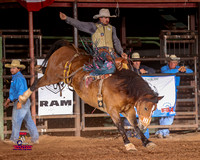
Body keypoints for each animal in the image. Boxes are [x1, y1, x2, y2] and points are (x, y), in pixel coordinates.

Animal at [19, 40, 162, 151]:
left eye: (153, 109)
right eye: (145, 108)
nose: (146, 125)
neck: (122, 86)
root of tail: (66, 46)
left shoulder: (129, 110)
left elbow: (135, 125)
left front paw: (147, 142)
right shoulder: (112, 110)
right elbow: (121, 126)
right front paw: (129, 144)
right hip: (52, 76)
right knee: (36, 83)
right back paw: (21, 99)